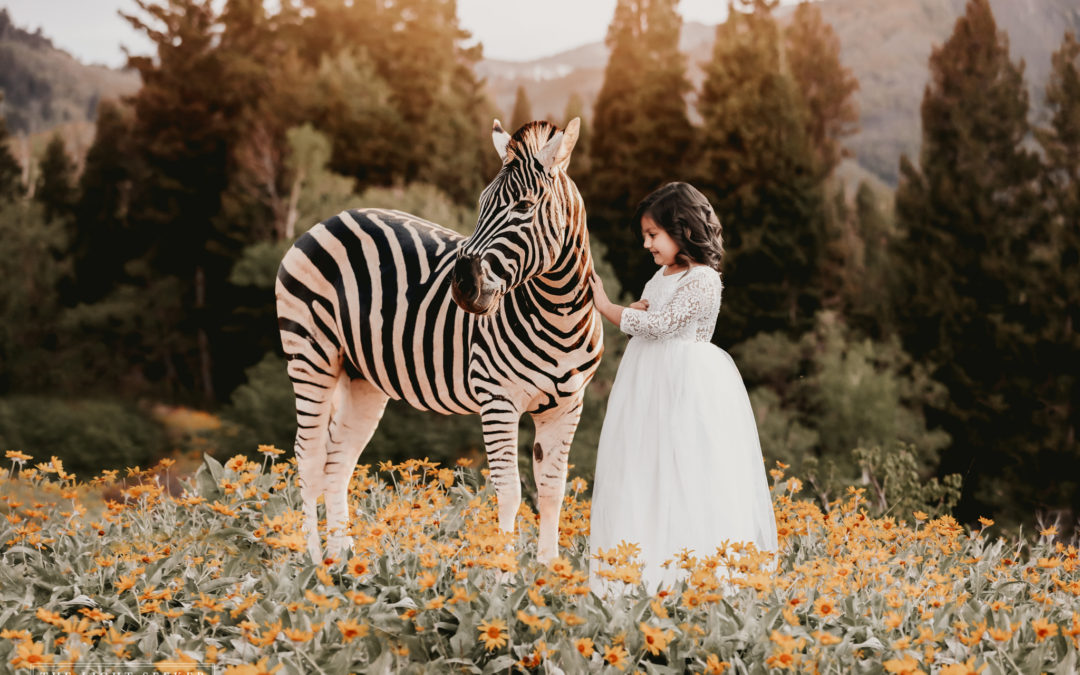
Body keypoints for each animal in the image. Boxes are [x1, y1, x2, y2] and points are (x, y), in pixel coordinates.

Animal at [274, 117, 604, 561]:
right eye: (481, 203)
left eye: (523, 207)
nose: (462, 286)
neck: (560, 314)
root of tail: (328, 220)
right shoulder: (497, 398)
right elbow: (510, 493)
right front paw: (504, 567)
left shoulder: (567, 405)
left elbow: (552, 490)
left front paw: (551, 570)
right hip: (310, 355)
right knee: (308, 458)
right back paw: (313, 562)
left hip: (361, 376)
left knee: (337, 462)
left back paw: (344, 561)